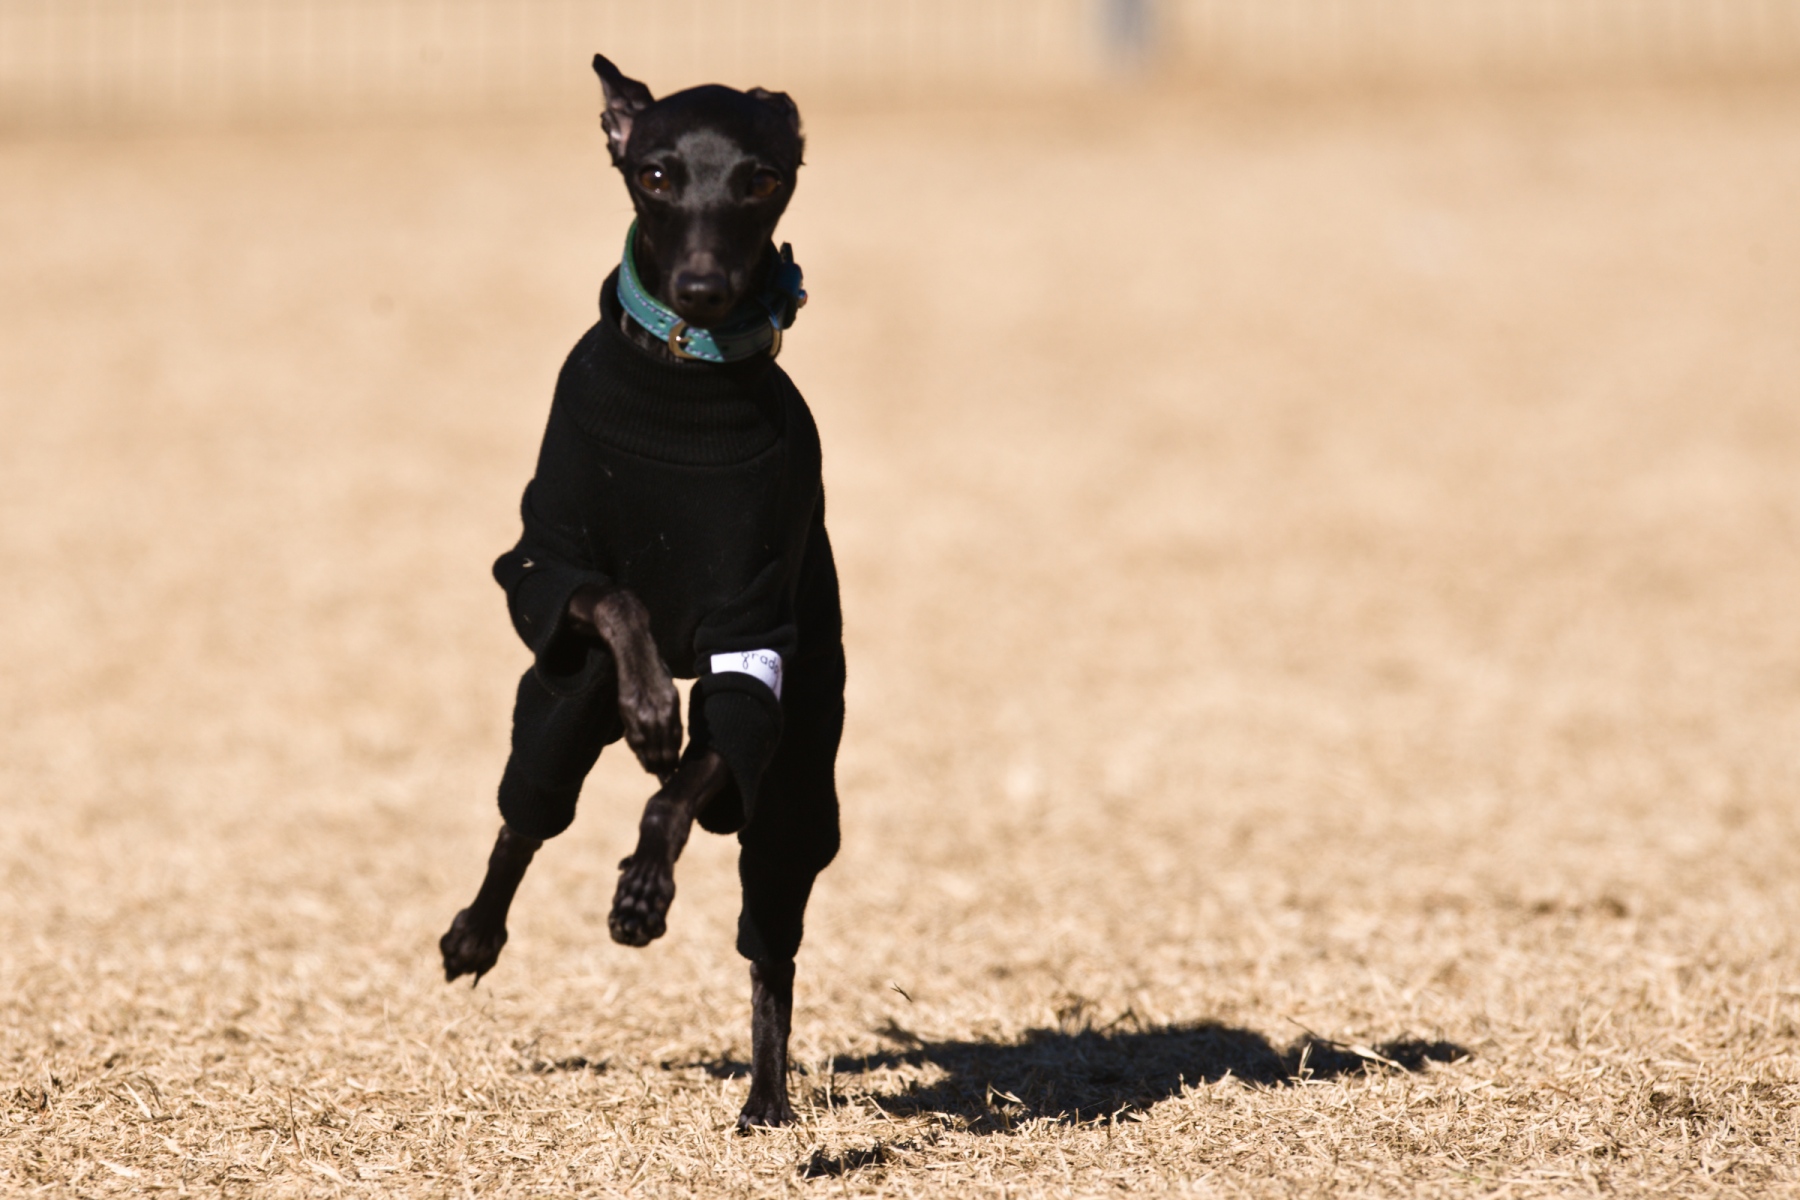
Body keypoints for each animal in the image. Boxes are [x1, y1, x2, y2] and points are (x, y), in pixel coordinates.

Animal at [438, 54, 844, 1132]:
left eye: (757, 178)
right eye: (657, 175)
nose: (702, 286)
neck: (683, 378)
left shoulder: (755, 640)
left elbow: (684, 783)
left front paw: (642, 891)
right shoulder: (544, 566)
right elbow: (614, 605)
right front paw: (653, 706)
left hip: (799, 785)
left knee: (770, 936)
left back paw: (767, 1100)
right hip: (556, 710)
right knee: (524, 818)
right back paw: (473, 935)